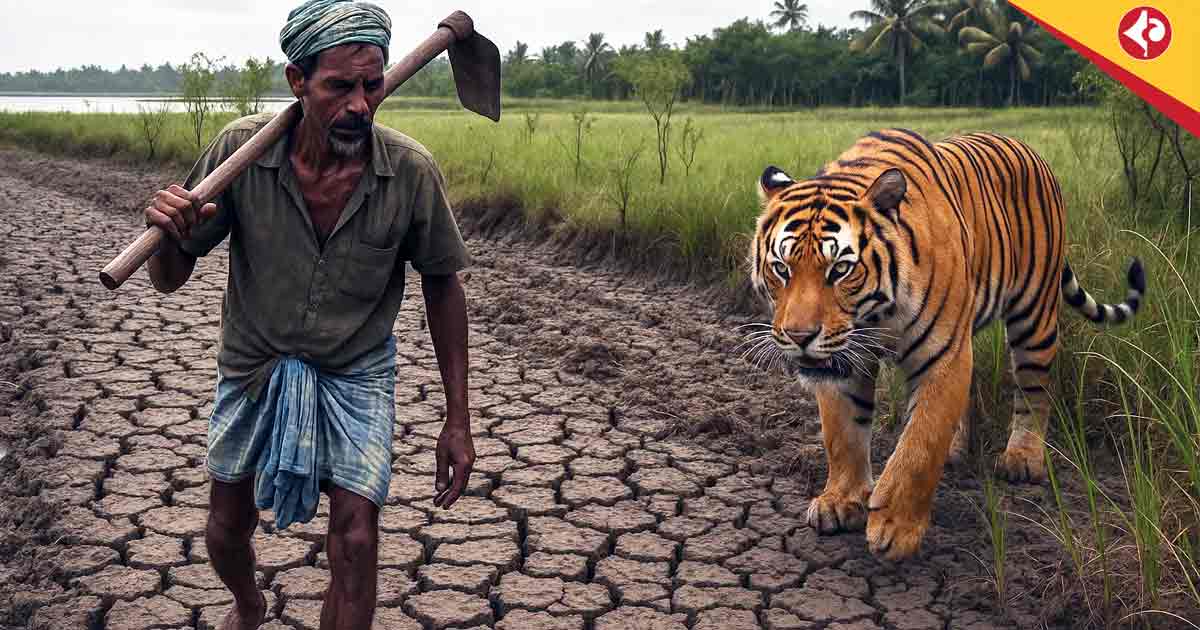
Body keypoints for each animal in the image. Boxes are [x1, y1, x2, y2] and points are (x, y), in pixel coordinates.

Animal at [748, 128, 1145, 560]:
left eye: (840, 270)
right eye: (781, 269)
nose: (800, 336)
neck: (876, 317)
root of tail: (1027, 148)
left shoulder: (942, 355)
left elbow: (921, 442)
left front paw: (895, 529)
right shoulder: (845, 362)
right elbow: (842, 435)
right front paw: (841, 501)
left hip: (1035, 316)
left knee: (1035, 389)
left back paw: (1022, 458)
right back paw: (959, 449)